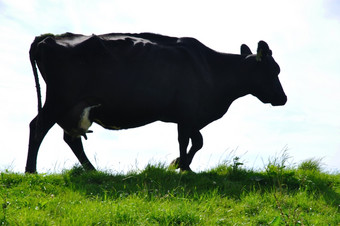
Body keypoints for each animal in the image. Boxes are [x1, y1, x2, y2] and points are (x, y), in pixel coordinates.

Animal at [26, 31, 286, 173]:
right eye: (274, 70)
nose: (283, 98)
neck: (213, 69)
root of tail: (48, 38)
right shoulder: (187, 113)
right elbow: (189, 141)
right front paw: (183, 166)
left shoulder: (189, 117)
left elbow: (195, 141)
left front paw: (180, 163)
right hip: (59, 100)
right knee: (37, 127)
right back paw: (31, 171)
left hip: (75, 108)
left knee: (71, 139)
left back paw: (92, 171)